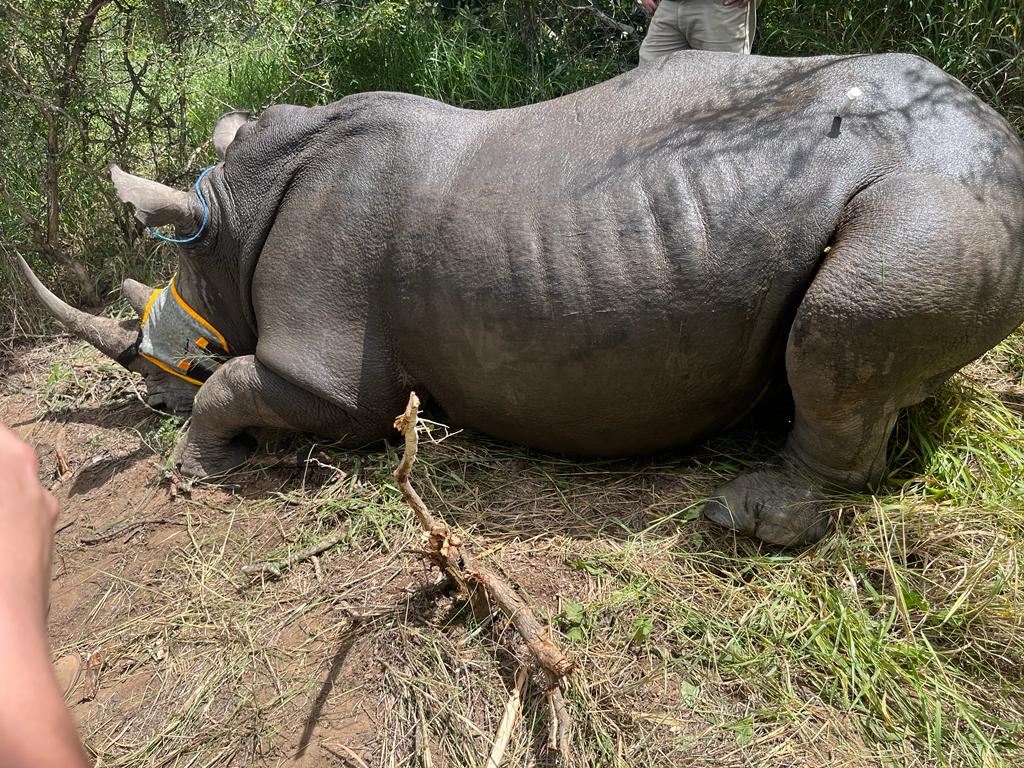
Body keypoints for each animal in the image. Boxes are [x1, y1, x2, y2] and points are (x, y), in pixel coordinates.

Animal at [18, 51, 1024, 546]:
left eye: (174, 347)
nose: (155, 400)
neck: (232, 216)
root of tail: (996, 127)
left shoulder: (330, 375)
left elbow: (252, 386)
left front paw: (194, 472)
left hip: (947, 191)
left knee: (842, 321)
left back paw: (746, 519)